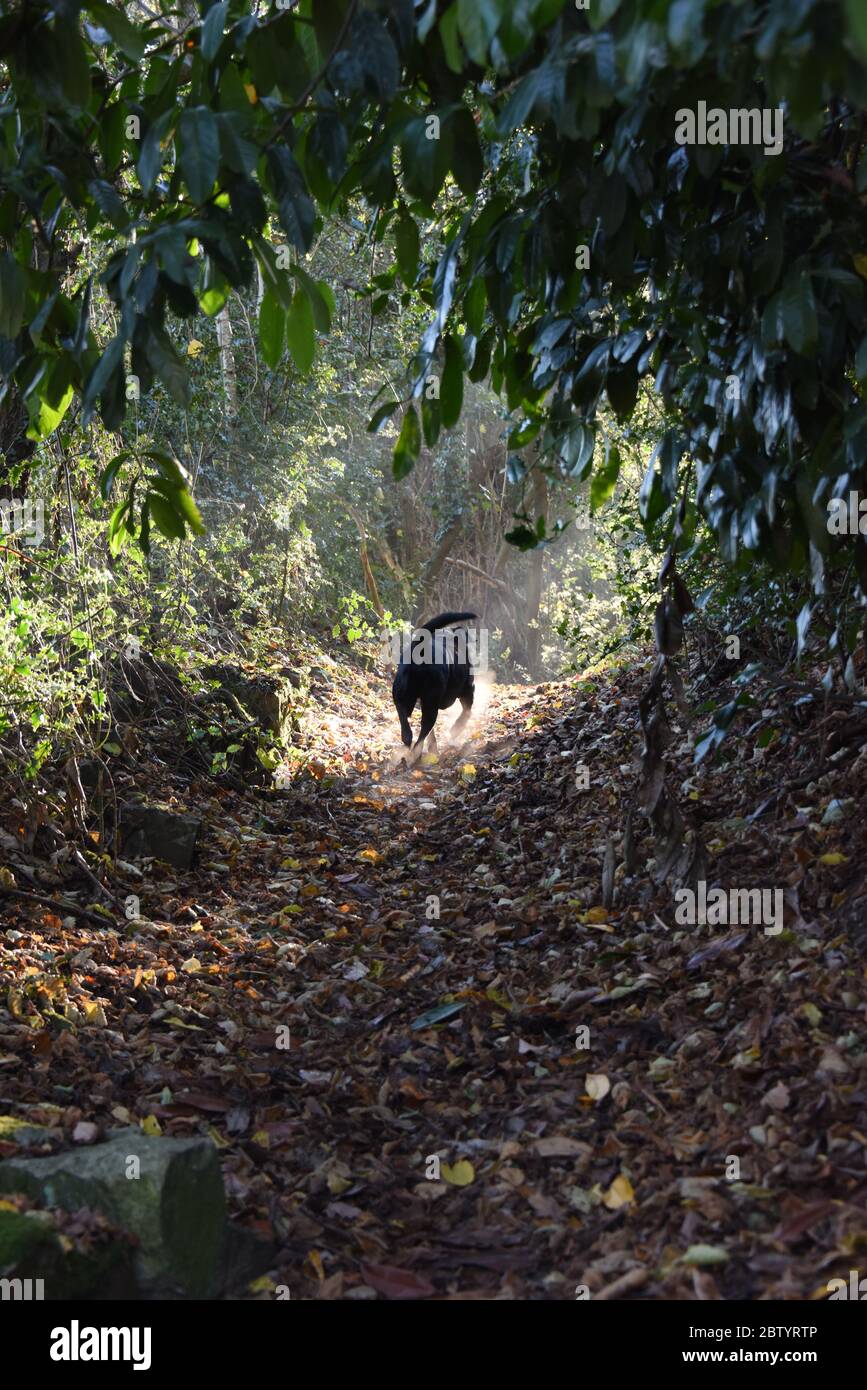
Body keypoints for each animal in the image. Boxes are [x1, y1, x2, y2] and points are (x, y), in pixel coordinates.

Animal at [394, 611, 480, 756]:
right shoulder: (468, 689)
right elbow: (467, 712)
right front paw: (456, 729)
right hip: (431, 702)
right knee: (423, 731)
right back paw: (418, 753)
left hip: (403, 697)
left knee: (405, 723)